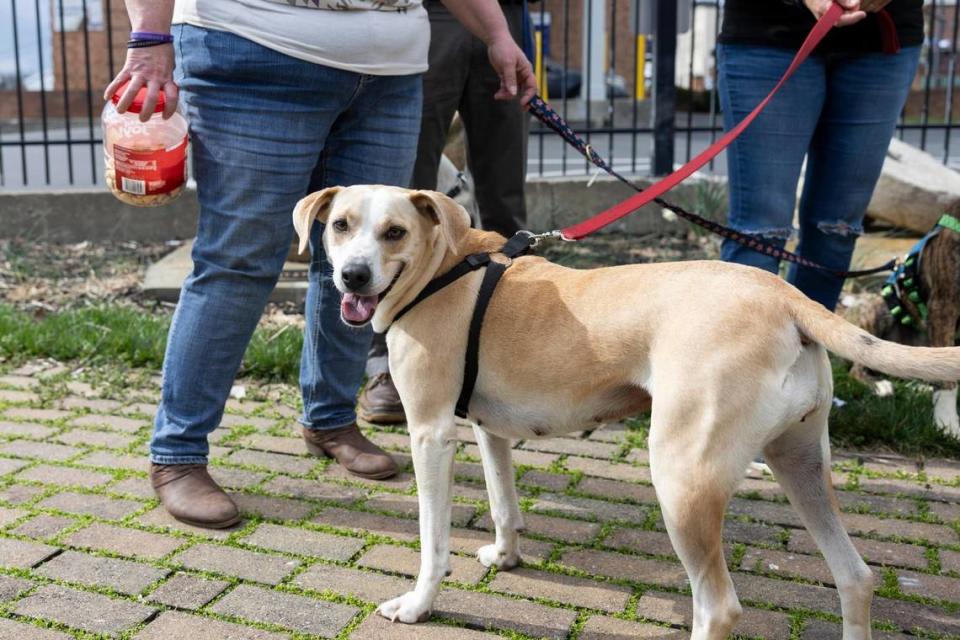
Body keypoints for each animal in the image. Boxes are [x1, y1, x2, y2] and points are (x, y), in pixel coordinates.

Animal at [292, 185, 960, 640]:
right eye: (341, 225)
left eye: (394, 232)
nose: (353, 275)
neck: (445, 265)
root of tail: (783, 294)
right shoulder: (489, 431)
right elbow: (505, 505)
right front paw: (505, 557)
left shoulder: (431, 434)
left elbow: (434, 543)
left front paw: (418, 605)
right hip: (800, 464)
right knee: (855, 577)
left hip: (683, 480)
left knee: (717, 606)